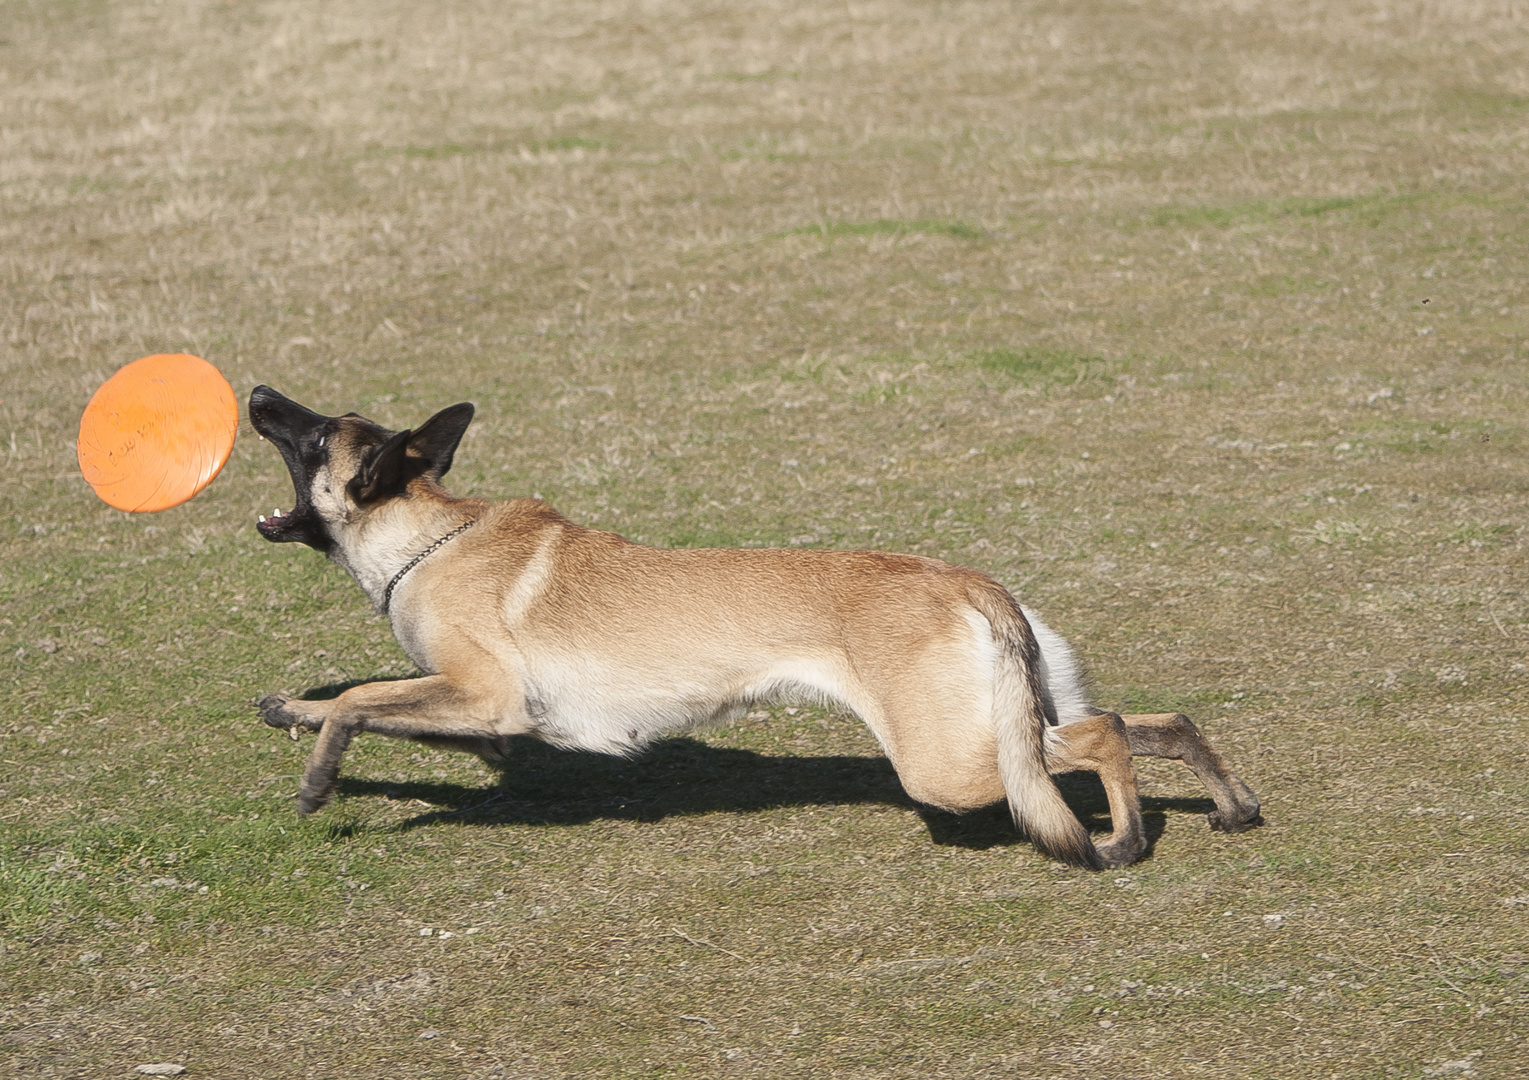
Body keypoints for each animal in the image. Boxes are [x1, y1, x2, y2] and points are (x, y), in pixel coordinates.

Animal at [247, 387, 1253, 868]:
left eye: (314, 433)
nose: (255, 392)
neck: (430, 537)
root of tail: (972, 584)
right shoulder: (477, 715)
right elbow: (370, 704)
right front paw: (295, 711)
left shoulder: (486, 698)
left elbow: (364, 699)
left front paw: (319, 778)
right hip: (1012, 715)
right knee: (1151, 722)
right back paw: (1229, 804)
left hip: (952, 765)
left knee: (1102, 738)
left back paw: (1121, 841)